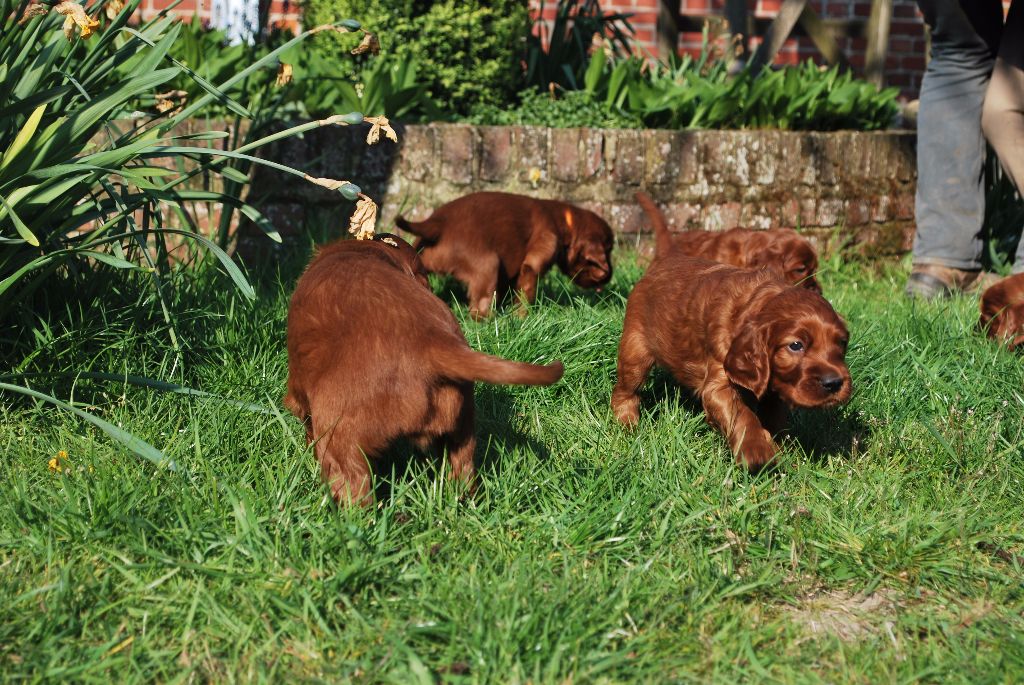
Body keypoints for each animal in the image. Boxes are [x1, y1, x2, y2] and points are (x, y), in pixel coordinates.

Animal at [284, 235, 565, 501]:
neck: (365, 250)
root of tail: (432, 340)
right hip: (462, 423)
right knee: (463, 467)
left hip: (338, 434)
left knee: (352, 484)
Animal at [395, 191, 610, 319]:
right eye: (609, 249)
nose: (609, 276)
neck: (561, 220)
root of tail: (437, 222)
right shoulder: (534, 261)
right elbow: (525, 295)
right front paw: (522, 318)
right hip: (489, 265)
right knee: (479, 306)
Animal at [610, 253, 851, 466]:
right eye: (795, 345)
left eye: (842, 342)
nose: (834, 383)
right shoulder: (719, 383)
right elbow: (744, 416)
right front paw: (757, 452)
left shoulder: (775, 389)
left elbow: (773, 418)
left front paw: (778, 446)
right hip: (635, 350)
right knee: (624, 391)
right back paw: (627, 424)